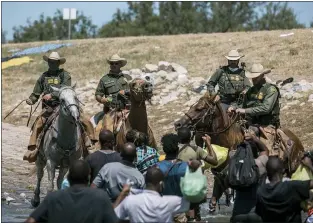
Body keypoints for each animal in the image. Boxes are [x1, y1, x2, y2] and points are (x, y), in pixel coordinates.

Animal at [173, 92, 302, 211]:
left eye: (200, 108)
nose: (178, 124)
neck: (228, 140)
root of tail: (295, 139)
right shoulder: (219, 174)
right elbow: (218, 191)